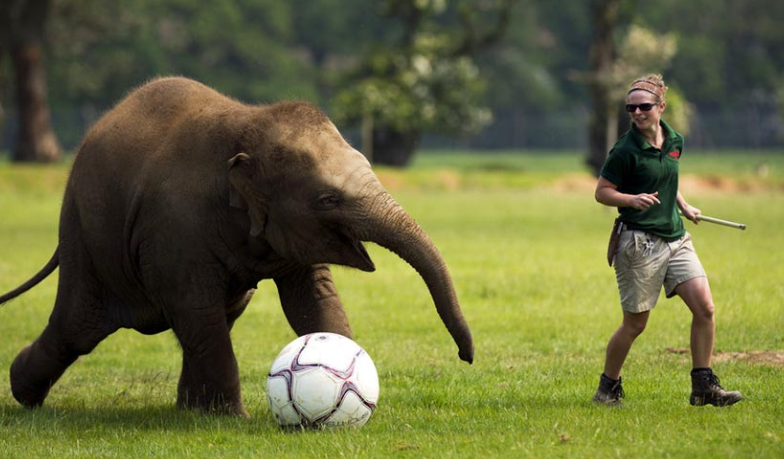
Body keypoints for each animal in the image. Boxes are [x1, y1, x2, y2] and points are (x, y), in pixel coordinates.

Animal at [0, 77, 473, 417]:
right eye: (327, 200)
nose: (466, 357)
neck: (250, 123)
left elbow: (313, 300)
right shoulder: (175, 227)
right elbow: (195, 305)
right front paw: (235, 420)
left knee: (219, 315)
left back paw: (189, 412)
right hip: (83, 235)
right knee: (78, 327)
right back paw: (23, 395)